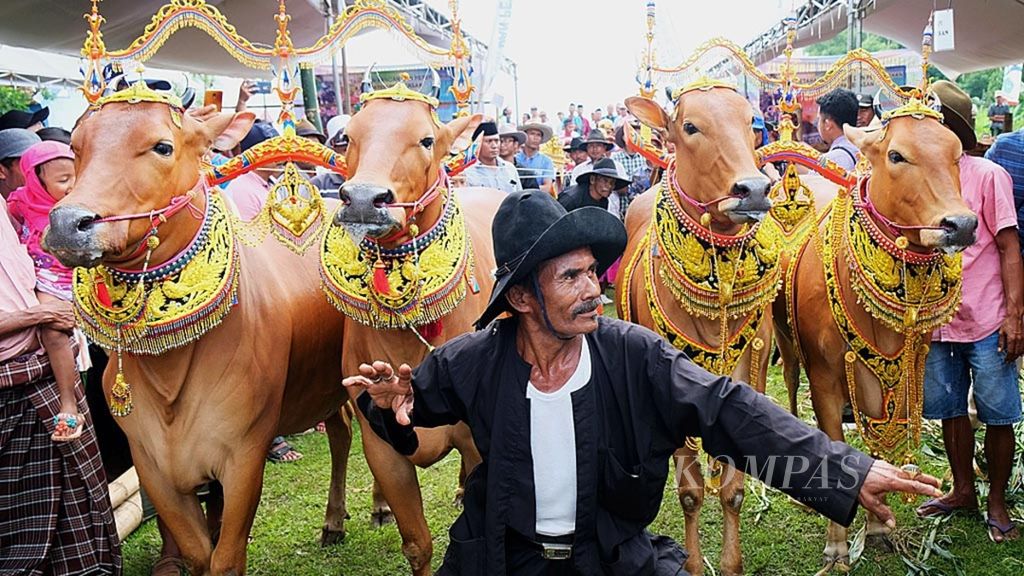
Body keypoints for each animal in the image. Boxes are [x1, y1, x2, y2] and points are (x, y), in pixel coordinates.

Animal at [43, 96, 364, 569]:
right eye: (77, 147)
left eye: (162, 146)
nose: (68, 224)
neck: (169, 371)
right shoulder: (152, 465)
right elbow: (198, 552)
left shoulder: (244, 454)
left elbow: (226, 556)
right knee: (341, 432)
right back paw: (335, 522)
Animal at [319, 81, 495, 573]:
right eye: (349, 137)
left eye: (426, 139)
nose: (363, 199)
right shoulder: (381, 444)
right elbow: (418, 543)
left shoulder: (479, 439)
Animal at [618, 86, 770, 573]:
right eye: (689, 126)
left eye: (750, 121)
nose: (753, 189)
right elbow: (689, 493)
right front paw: (693, 561)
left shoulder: (744, 369)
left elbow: (733, 490)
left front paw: (730, 561)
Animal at [786, 117, 978, 569]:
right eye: (896, 155)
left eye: (956, 154)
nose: (961, 225)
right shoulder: (823, 379)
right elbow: (833, 444)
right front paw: (837, 545)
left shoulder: (900, 376)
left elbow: (882, 447)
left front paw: (876, 526)